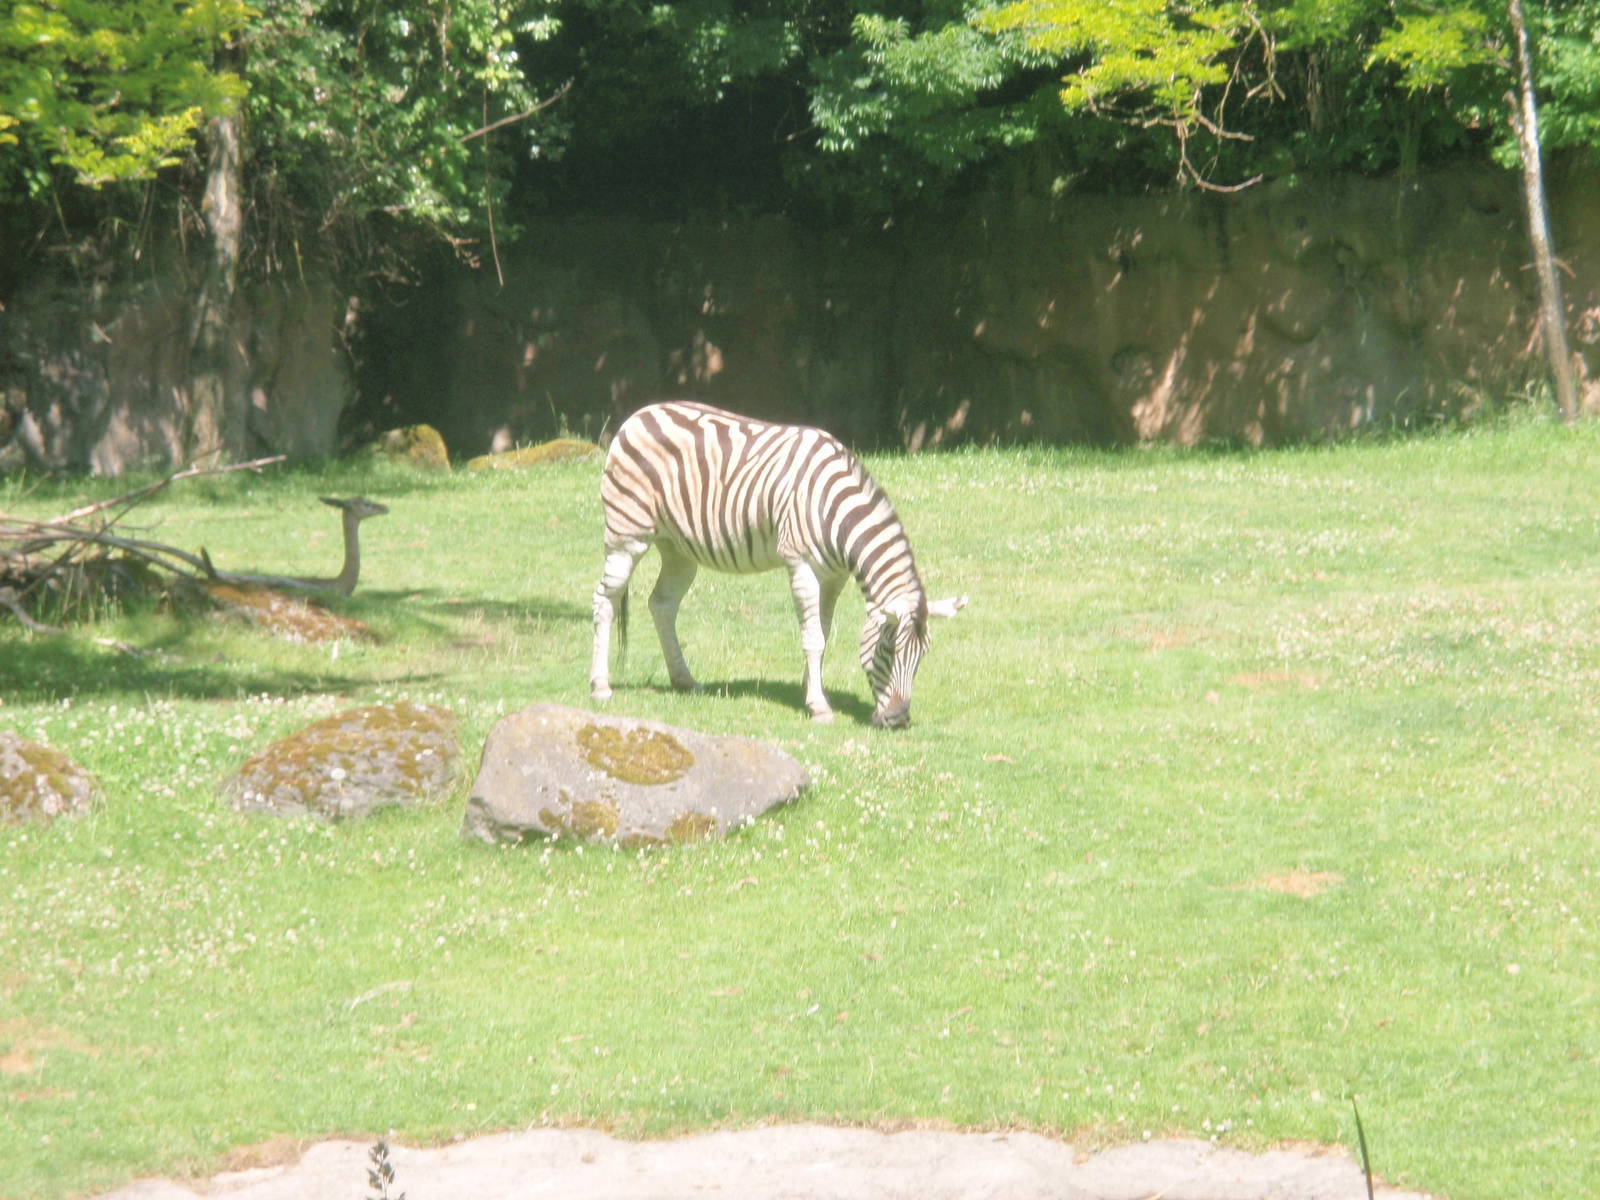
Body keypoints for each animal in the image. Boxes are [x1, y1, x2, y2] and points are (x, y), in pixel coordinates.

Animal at [589, 400, 966, 728]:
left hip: (678, 549)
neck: (837, 511)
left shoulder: (834, 576)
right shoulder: (800, 563)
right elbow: (813, 637)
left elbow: (822, 631)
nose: (898, 720)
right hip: (627, 536)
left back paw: (685, 680)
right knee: (605, 600)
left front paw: (810, 689)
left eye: (923, 654)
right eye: (888, 648)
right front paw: (819, 707)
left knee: (662, 604)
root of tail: (639, 414)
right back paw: (601, 686)